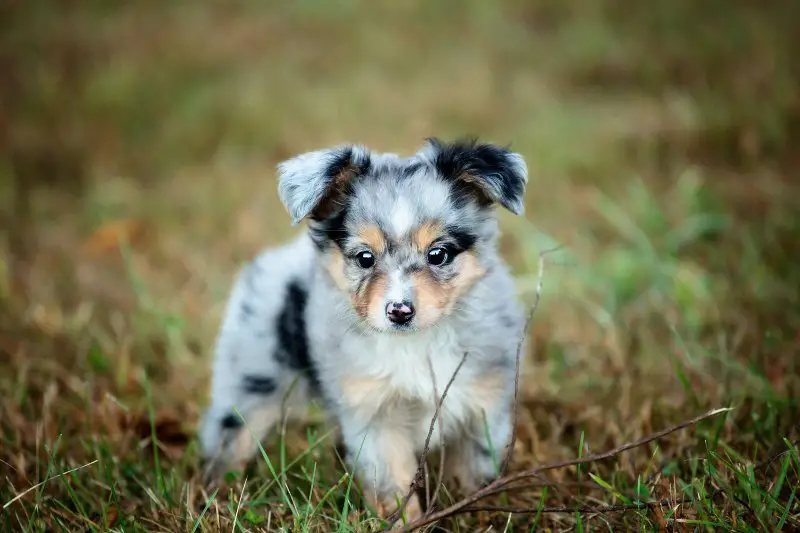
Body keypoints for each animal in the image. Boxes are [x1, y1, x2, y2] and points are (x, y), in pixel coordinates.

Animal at [198, 136, 528, 520]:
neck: (415, 345)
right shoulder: (376, 417)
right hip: (252, 378)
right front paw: (405, 523)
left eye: (439, 254)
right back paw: (218, 492)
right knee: (232, 434)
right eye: (365, 258)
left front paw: (474, 510)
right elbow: (394, 486)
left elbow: (472, 473)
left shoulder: (483, 406)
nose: (399, 311)